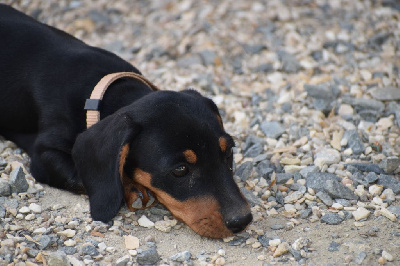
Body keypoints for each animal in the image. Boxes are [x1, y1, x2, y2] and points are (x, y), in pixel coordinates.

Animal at [0, 4, 252, 238]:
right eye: (180, 170)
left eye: (228, 152)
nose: (242, 220)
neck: (96, 93)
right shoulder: (43, 156)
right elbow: (79, 175)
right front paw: (131, 187)